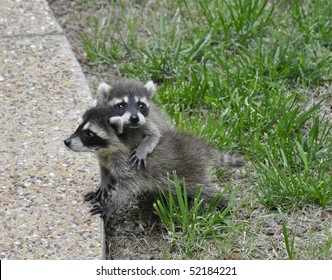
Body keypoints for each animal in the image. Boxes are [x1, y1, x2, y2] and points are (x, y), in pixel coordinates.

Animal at [63, 106, 244, 222]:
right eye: (79, 127)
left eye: (89, 133)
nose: (67, 141)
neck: (106, 151)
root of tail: (204, 150)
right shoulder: (105, 159)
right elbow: (106, 171)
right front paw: (104, 185)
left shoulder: (128, 166)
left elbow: (127, 187)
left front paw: (112, 205)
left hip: (193, 172)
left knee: (206, 190)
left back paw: (224, 202)